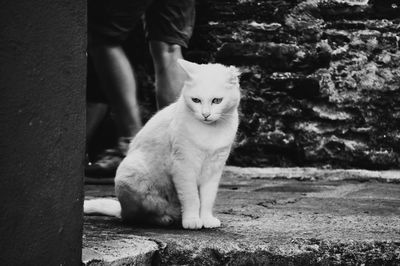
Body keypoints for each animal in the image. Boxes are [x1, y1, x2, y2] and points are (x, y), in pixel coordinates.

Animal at [83, 59, 241, 230]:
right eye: (196, 100)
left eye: (217, 100)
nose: (205, 115)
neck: (210, 131)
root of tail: (122, 209)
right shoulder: (183, 167)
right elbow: (192, 198)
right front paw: (192, 220)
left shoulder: (214, 169)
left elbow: (207, 199)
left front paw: (206, 219)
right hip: (130, 176)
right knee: (137, 217)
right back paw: (163, 219)